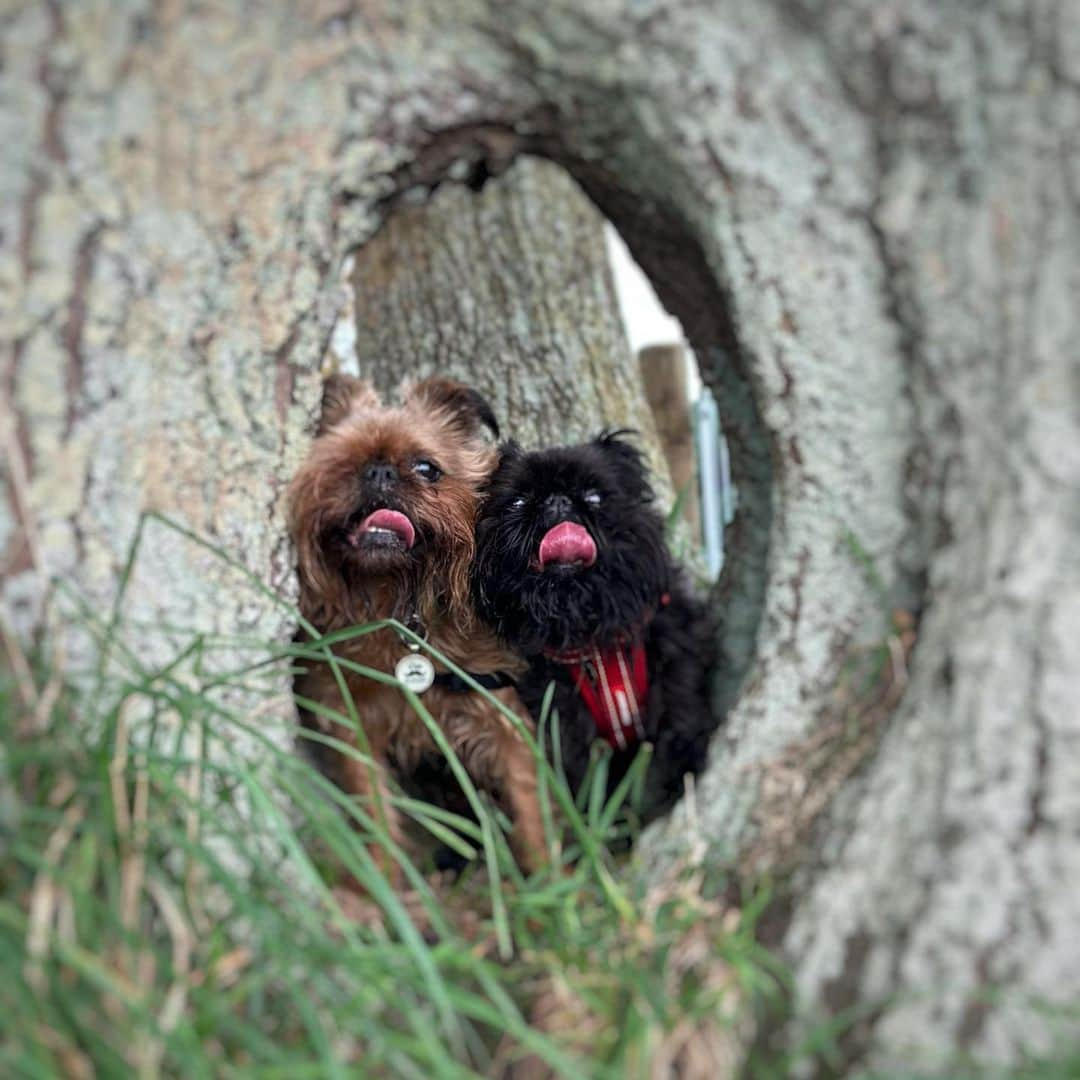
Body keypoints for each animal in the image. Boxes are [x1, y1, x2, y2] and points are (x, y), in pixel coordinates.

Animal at [287, 375, 544, 881]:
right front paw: (379, 883)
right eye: (339, 464)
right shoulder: (349, 717)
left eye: (427, 468)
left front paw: (558, 881)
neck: (396, 604)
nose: (379, 473)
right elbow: (374, 805)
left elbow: (529, 807)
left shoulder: (500, 710)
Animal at [470, 429, 717, 816]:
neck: (595, 645)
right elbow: (584, 781)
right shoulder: (562, 720)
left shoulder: (677, 690)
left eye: (594, 496)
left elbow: (658, 769)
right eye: (518, 502)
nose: (557, 501)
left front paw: (648, 815)